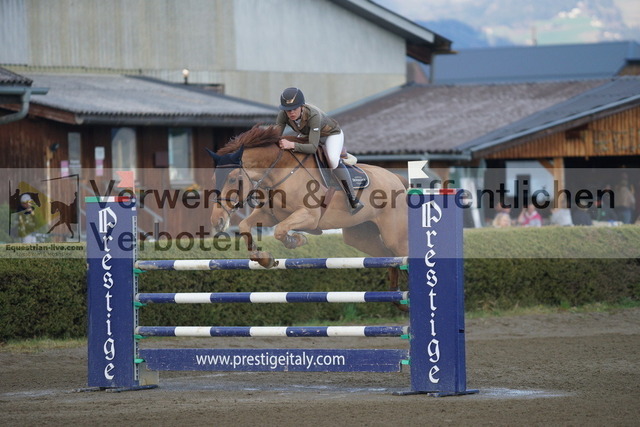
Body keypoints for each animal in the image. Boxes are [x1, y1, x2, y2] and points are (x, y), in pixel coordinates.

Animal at [210, 124, 410, 294]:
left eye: (232, 179)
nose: (217, 221)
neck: (279, 172)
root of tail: (396, 178)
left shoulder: (309, 216)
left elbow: (280, 230)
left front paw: (296, 240)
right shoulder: (269, 214)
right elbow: (245, 225)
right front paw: (264, 258)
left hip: (395, 237)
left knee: (400, 253)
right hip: (361, 236)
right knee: (388, 258)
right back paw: (397, 297)